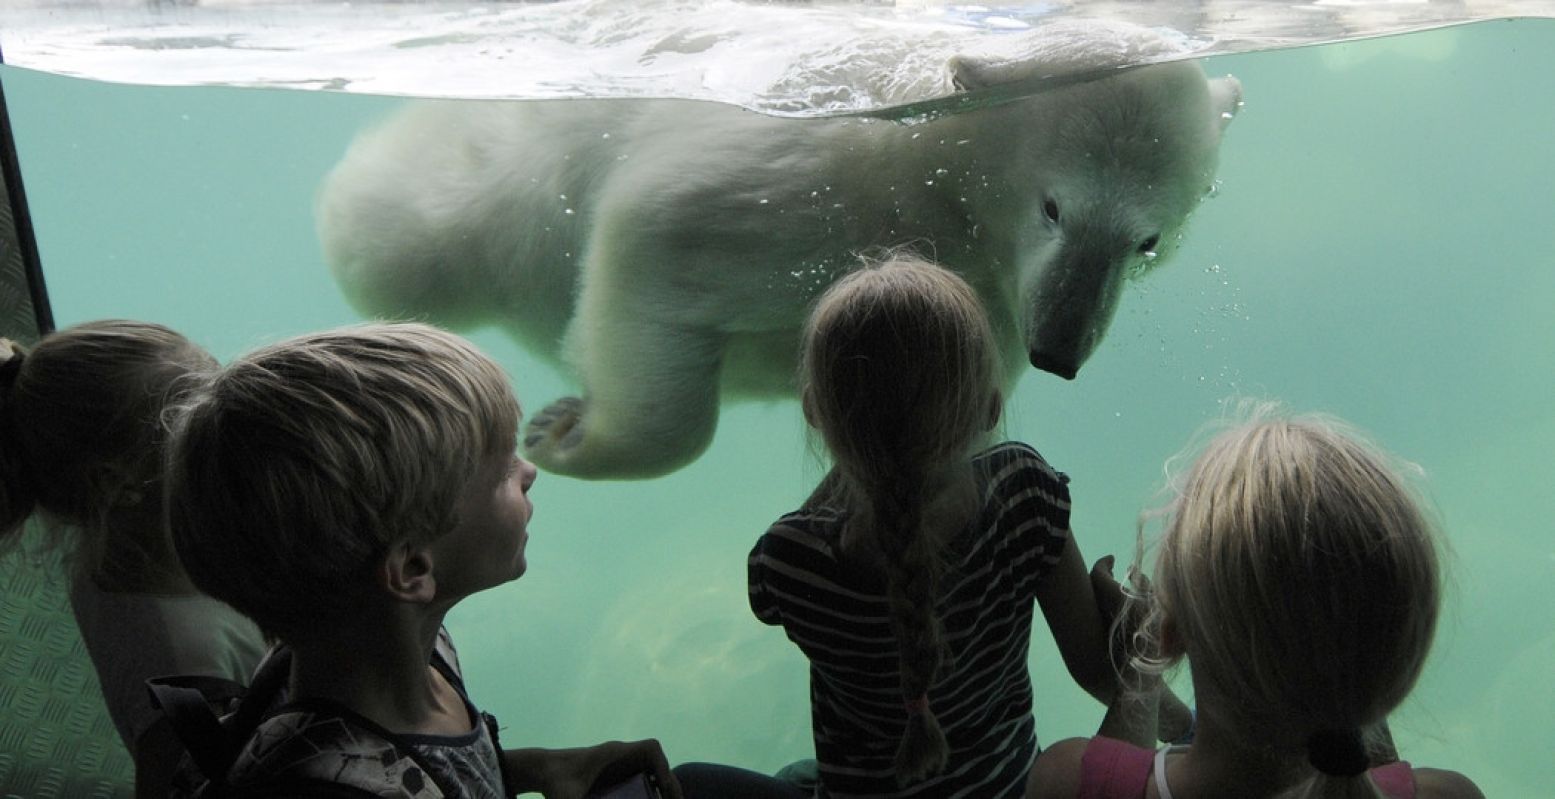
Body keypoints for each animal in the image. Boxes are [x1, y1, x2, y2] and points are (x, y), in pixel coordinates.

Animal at [315, 27, 1237, 475]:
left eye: (1146, 238)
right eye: (1053, 206)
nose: (1059, 351)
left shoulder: (987, 283)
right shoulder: (808, 171)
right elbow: (660, 234)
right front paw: (565, 433)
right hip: (510, 184)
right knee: (409, 238)